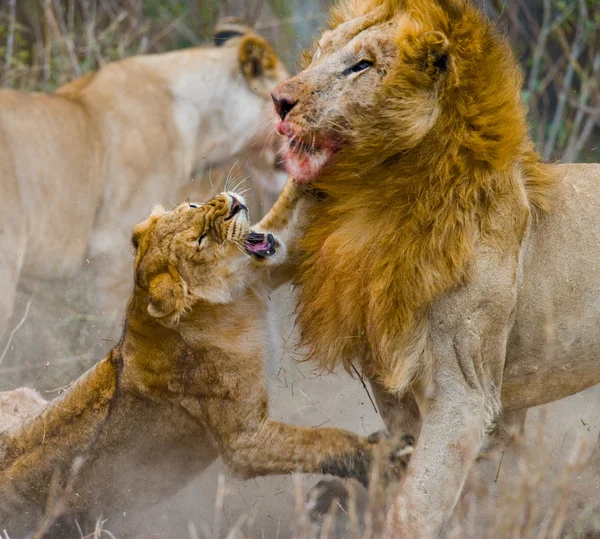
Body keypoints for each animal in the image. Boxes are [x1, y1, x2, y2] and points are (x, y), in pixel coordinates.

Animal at [0, 185, 412, 536]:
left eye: (194, 205)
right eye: (200, 240)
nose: (230, 202)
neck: (233, 299)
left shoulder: (265, 268)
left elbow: (282, 216)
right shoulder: (243, 442)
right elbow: (318, 441)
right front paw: (384, 456)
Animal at [270, 0, 600, 536]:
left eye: (362, 65)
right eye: (319, 52)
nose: (279, 100)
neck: (385, 200)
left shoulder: (466, 389)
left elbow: (416, 505)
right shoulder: (389, 376)